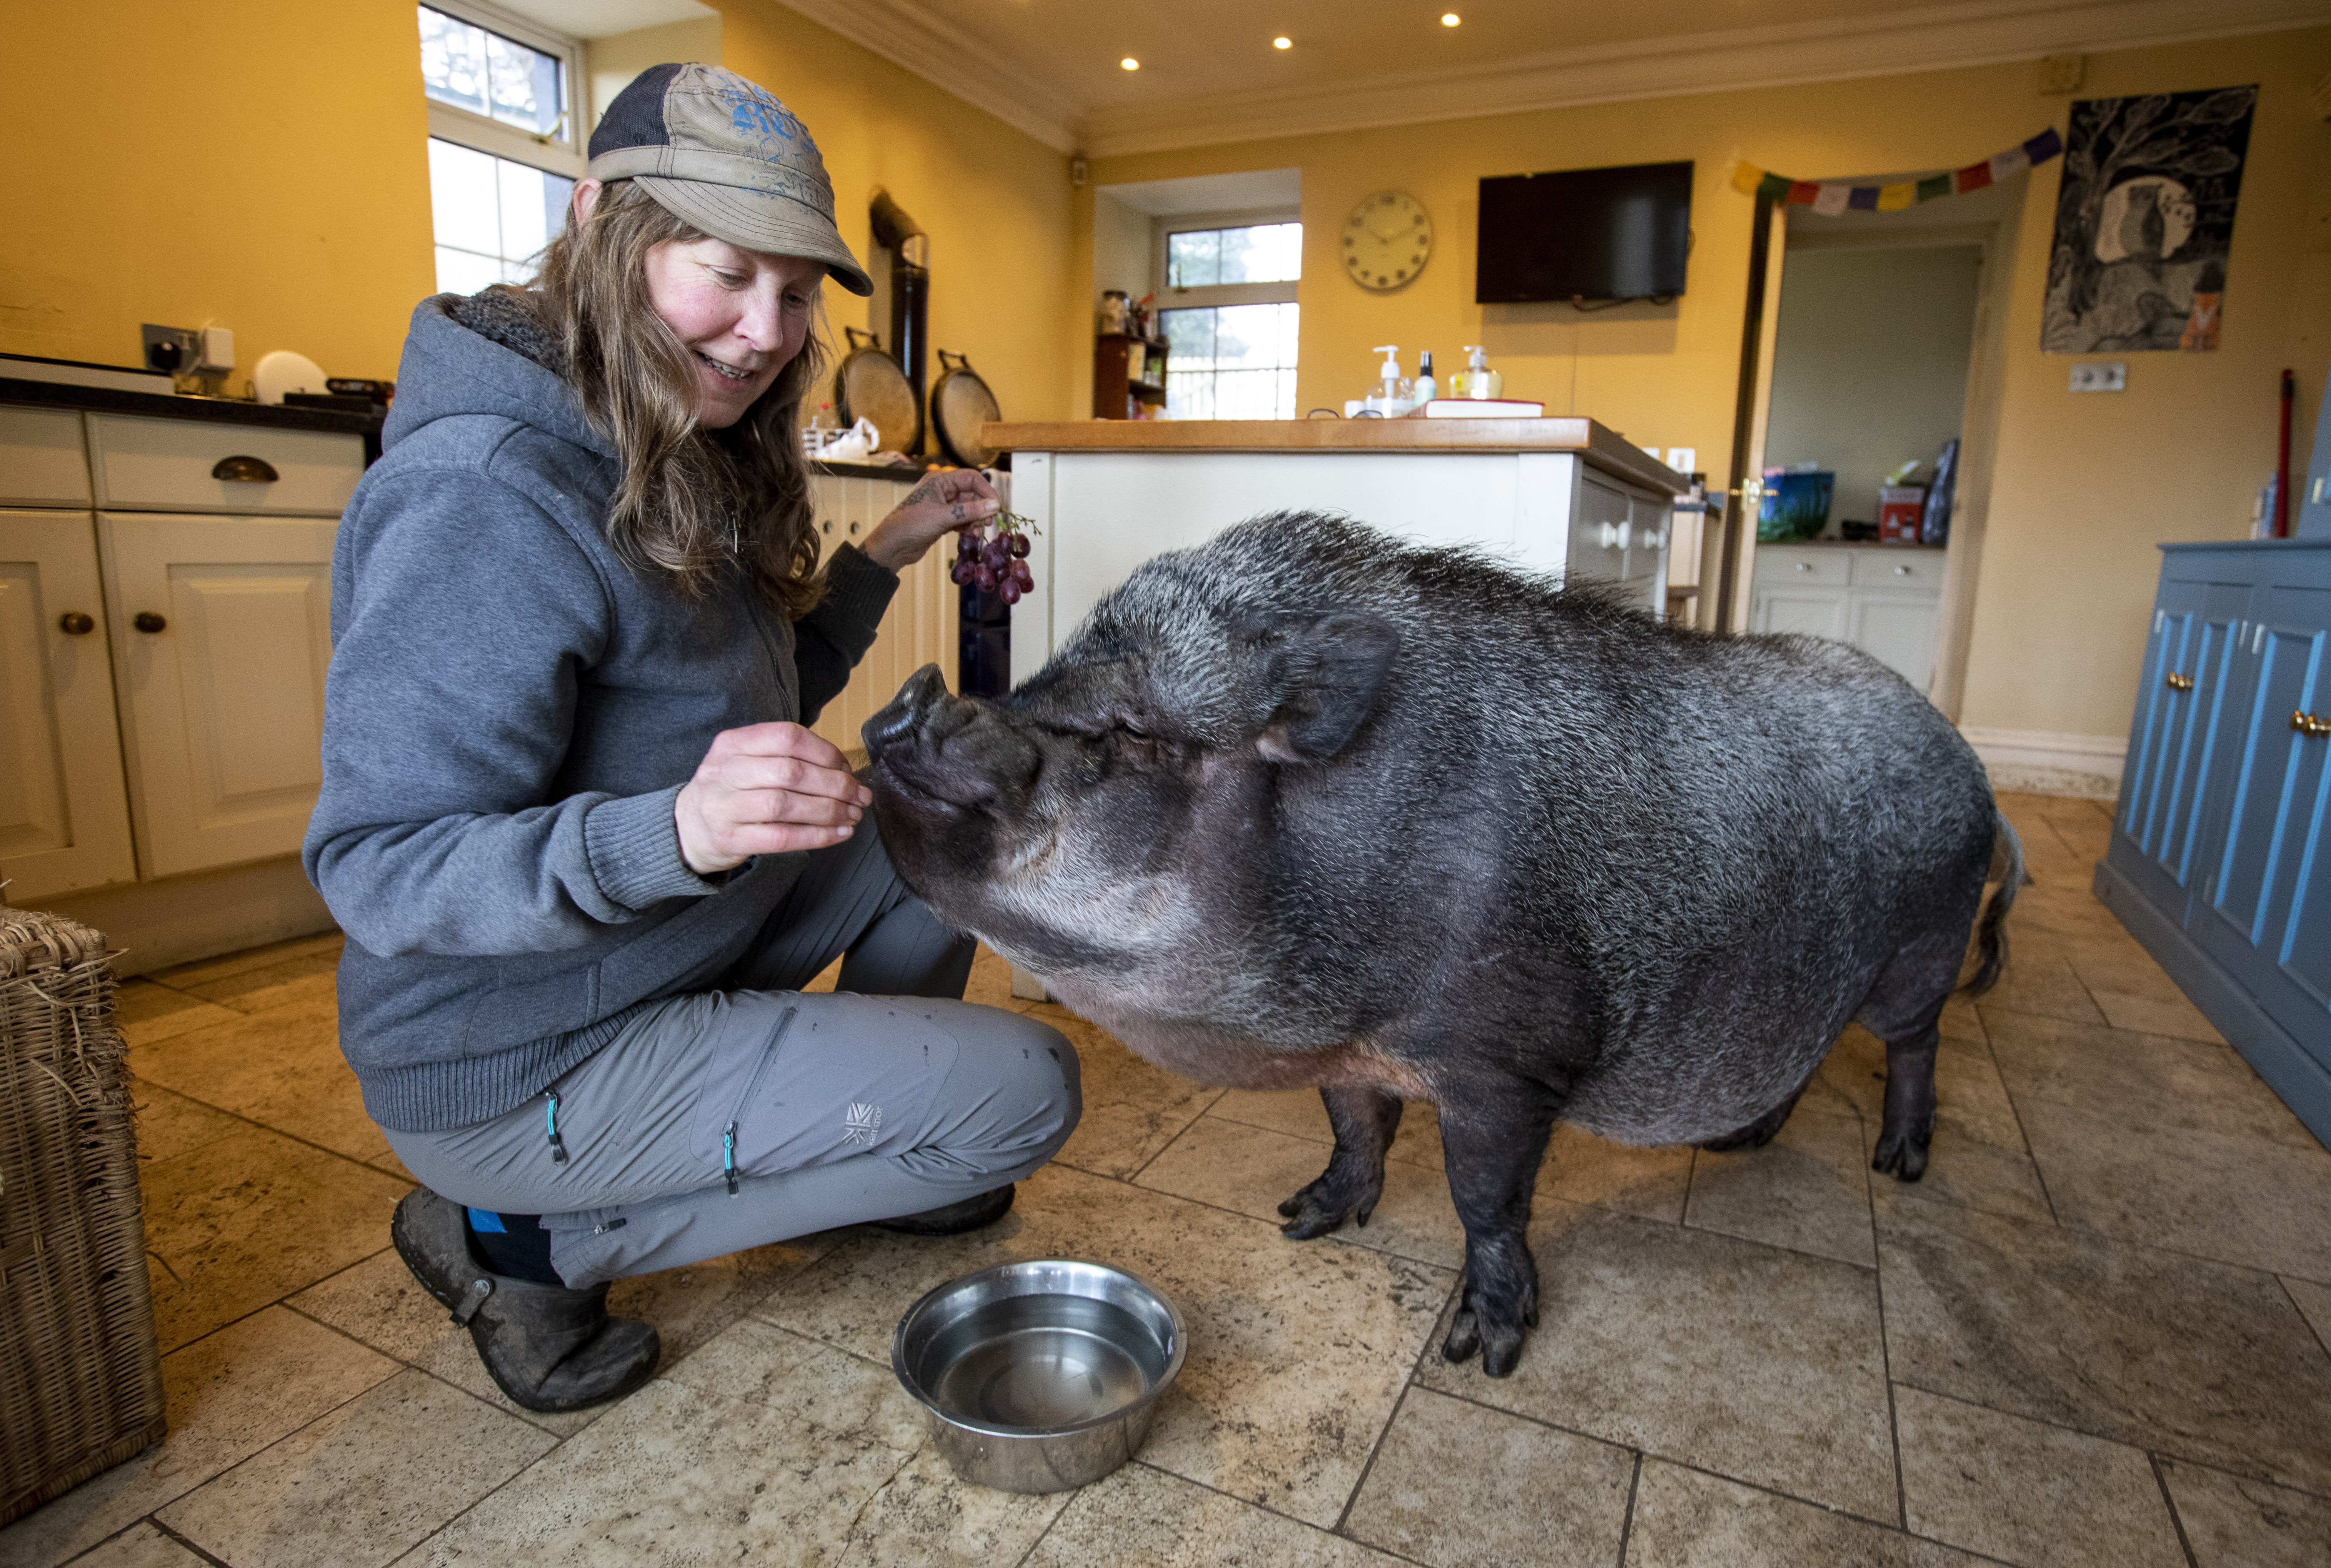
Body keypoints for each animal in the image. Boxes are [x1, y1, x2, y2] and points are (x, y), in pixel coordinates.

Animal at [867, 510, 2014, 1370]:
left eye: (1136, 731)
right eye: (1040, 679)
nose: (908, 698)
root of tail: (1968, 763)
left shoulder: (1504, 1062)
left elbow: (1486, 1198)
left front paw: (1486, 1350)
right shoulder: (1349, 1049)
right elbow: (1354, 1127)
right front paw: (1300, 1219)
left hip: (1920, 950)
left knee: (1912, 1044)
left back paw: (1900, 1164)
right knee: (1800, 1053)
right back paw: (1736, 1143)